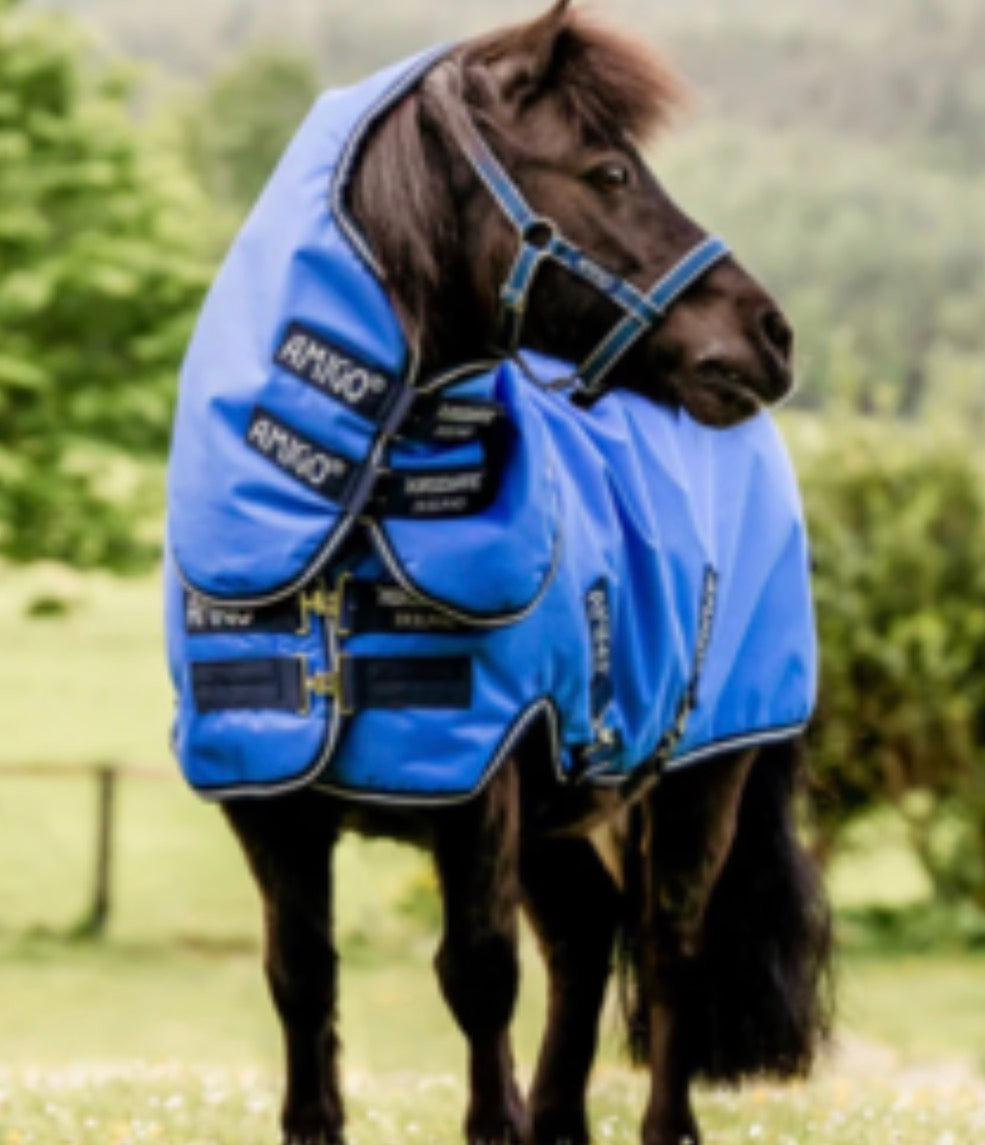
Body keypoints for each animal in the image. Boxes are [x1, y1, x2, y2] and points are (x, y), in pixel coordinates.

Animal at [206, 4, 833, 1143]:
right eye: (610, 171)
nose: (770, 334)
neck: (348, 528)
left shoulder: (477, 785)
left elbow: (477, 973)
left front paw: (494, 1120)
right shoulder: (268, 799)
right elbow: (301, 975)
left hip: (701, 778)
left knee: (667, 945)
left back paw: (661, 1123)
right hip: (561, 810)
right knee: (586, 936)